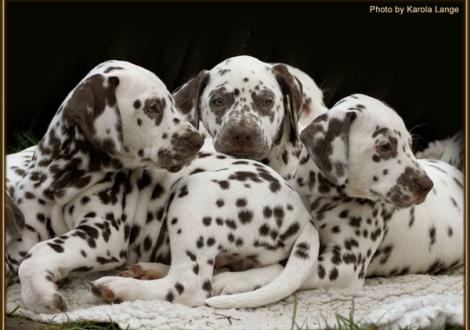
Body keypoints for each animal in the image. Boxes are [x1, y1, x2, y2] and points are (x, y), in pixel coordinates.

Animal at [5, 61, 204, 312]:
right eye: (153, 107)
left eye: (172, 103)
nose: (198, 140)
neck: (60, 179)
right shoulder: (25, 233)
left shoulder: (103, 230)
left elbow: (42, 250)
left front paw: (40, 294)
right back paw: (146, 270)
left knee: (189, 282)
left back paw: (121, 287)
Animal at [203, 94, 462, 308]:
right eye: (385, 146)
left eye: (410, 144)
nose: (426, 185)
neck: (319, 197)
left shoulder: (343, 266)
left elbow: (283, 268)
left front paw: (234, 280)